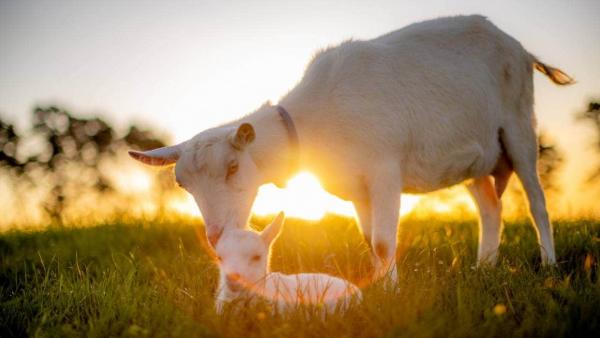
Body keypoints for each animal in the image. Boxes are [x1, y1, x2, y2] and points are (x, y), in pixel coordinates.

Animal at [131, 14, 572, 282]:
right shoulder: (359, 188)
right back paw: (485, 266)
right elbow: (370, 242)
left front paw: (392, 294)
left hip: (518, 125)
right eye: (183, 184)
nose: (216, 236)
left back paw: (548, 264)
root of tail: (520, 48)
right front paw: (378, 286)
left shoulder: (385, 168)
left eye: (234, 168)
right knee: (490, 207)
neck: (314, 126)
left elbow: (383, 242)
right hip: (476, 157)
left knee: (536, 202)